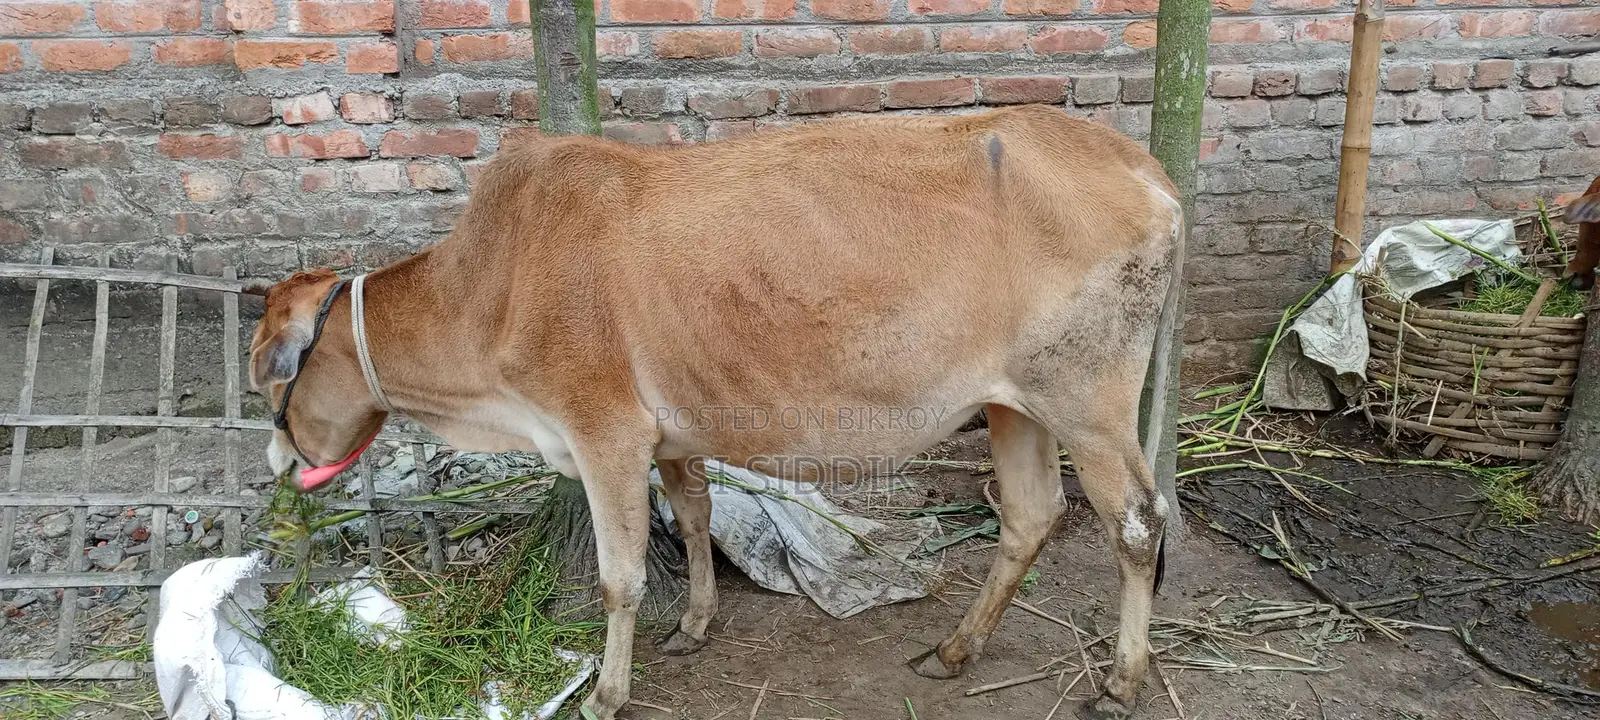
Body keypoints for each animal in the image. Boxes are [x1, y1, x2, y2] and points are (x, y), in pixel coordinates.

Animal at [246, 105, 1184, 719]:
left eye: (262, 373)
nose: (278, 463)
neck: (490, 289)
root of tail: (1148, 172)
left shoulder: (604, 432)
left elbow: (620, 576)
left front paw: (608, 694)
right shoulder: (669, 438)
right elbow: (693, 518)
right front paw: (694, 624)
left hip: (1087, 398)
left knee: (1137, 520)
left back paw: (1121, 681)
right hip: (1012, 402)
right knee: (1031, 515)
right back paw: (955, 651)